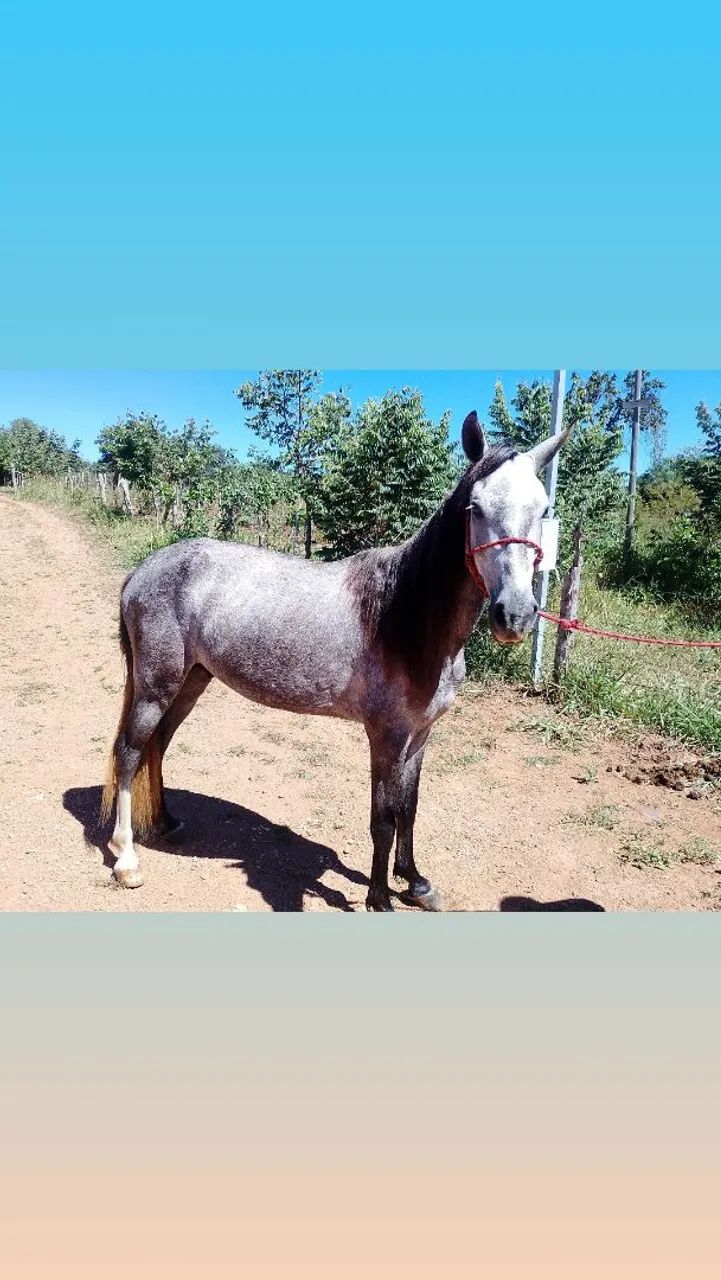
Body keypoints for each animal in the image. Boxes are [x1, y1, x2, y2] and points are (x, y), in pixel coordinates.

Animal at [101, 411, 569, 910]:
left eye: (543, 509)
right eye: (474, 508)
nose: (514, 615)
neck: (403, 616)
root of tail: (143, 571)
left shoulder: (421, 735)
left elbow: (409, 807)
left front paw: (415, 881)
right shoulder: (386, 736)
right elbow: (383, 818)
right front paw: (380, 897)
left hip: (192, 681)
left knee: (158, 745)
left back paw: (166, 823)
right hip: (157, 685)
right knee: (129, 752)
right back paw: (126, 858)